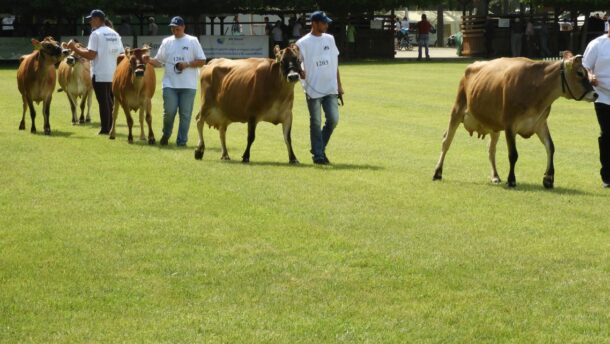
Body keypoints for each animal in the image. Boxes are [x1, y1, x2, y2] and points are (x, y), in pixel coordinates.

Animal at [432, 52, 592, 189]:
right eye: (580, 73)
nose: (595, 94)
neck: (535, 86)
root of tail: (473, 65)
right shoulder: (510, 125)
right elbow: (513, 154)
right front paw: (512, 180)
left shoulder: (540, 123)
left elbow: (550, 147)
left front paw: (548, 179)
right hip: (457, 110)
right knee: (446, 141)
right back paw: (437, 172)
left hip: (493, 125)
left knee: (491, 149)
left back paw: (495, 176)